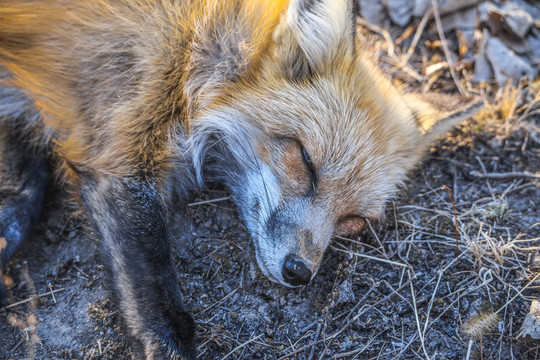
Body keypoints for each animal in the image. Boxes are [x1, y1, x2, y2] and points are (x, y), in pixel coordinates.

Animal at [0, 0, 480, 358]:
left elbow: (24, 190)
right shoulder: (118, 148)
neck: (197, 54)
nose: (299, 272)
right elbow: (155, 291)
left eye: (353, 221)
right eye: (305, 161)